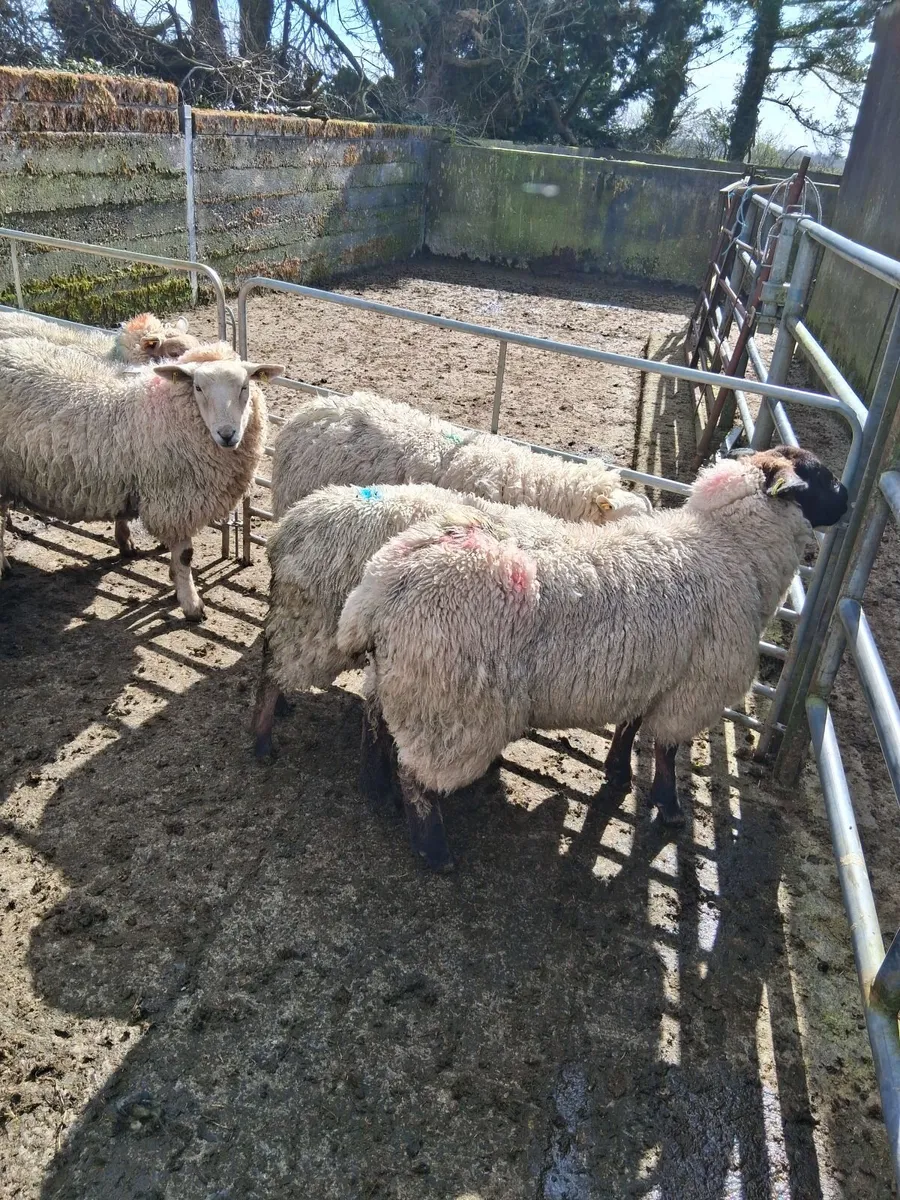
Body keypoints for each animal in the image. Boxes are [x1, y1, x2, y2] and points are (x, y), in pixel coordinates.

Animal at [0, 339, 283, 618]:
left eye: (245, 386)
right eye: (198, 387)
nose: (227, 434)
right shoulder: (176, 502)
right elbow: (185, 557)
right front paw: (191, 604)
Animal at [336, 446, 848, 871]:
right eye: (821, 476)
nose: (845, 501)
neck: (731, 549)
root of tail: (382, 584)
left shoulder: (652, 671)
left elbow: (631, 726)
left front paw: (618, 773)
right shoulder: (693, 687)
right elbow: (666, 751)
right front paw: (670, 809)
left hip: (403, 678)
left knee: (374, 722)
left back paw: (374, 788)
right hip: (449, 704)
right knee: (417, 774)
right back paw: (433, 849)